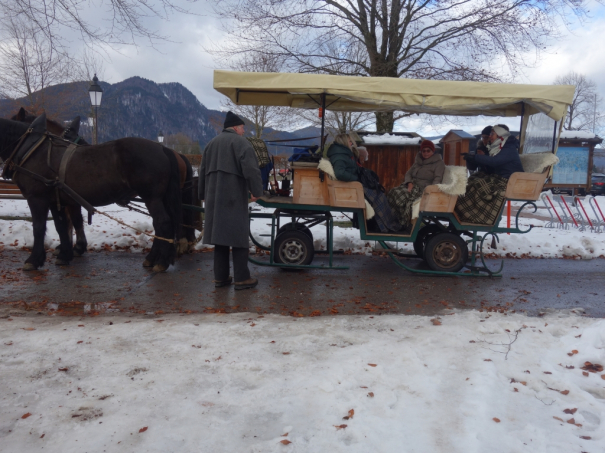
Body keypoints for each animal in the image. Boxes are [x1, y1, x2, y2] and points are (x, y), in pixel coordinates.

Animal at [10, 106, 196, 260]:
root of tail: (166, 150)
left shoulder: (67, 198)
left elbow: (73, 221)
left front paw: (73, 248)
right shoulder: (67, 198)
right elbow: (74, 221)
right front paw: (72, 247)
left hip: (154, 197)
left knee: (164, 222)